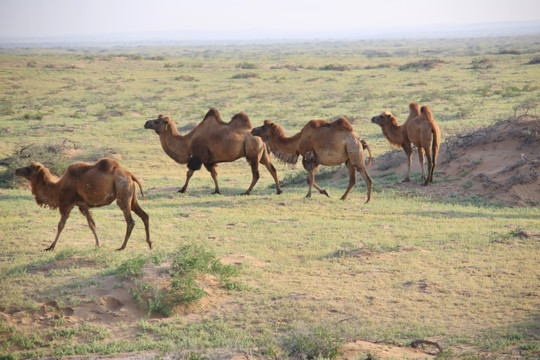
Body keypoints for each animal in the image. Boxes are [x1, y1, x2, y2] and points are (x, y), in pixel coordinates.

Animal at [15, 159, 150, 252]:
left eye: (29, 168)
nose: (16, 170)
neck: (58, 188)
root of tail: (130, 175)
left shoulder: (67, 204)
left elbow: (60, 226)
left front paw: (51, 247)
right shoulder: (83, 205)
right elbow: (91, 224)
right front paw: (98, 244)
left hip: (122, 192)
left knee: (130, 221)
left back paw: (122, 247)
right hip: (131, 197)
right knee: (144, 215)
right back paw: (149, 243)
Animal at [146, 108, 284, 195]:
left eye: (157, 121)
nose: (146, 123)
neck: (188, 141)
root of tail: (261, 138)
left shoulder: (198, 157)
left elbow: (189, 173)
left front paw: (182, 190)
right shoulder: (208, 160)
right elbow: (214, 174)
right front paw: (217, 191)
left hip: (253, 155)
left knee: (256, 174)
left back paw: (246, 192)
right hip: (263, 155)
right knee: (272, 169)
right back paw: (278, 191)